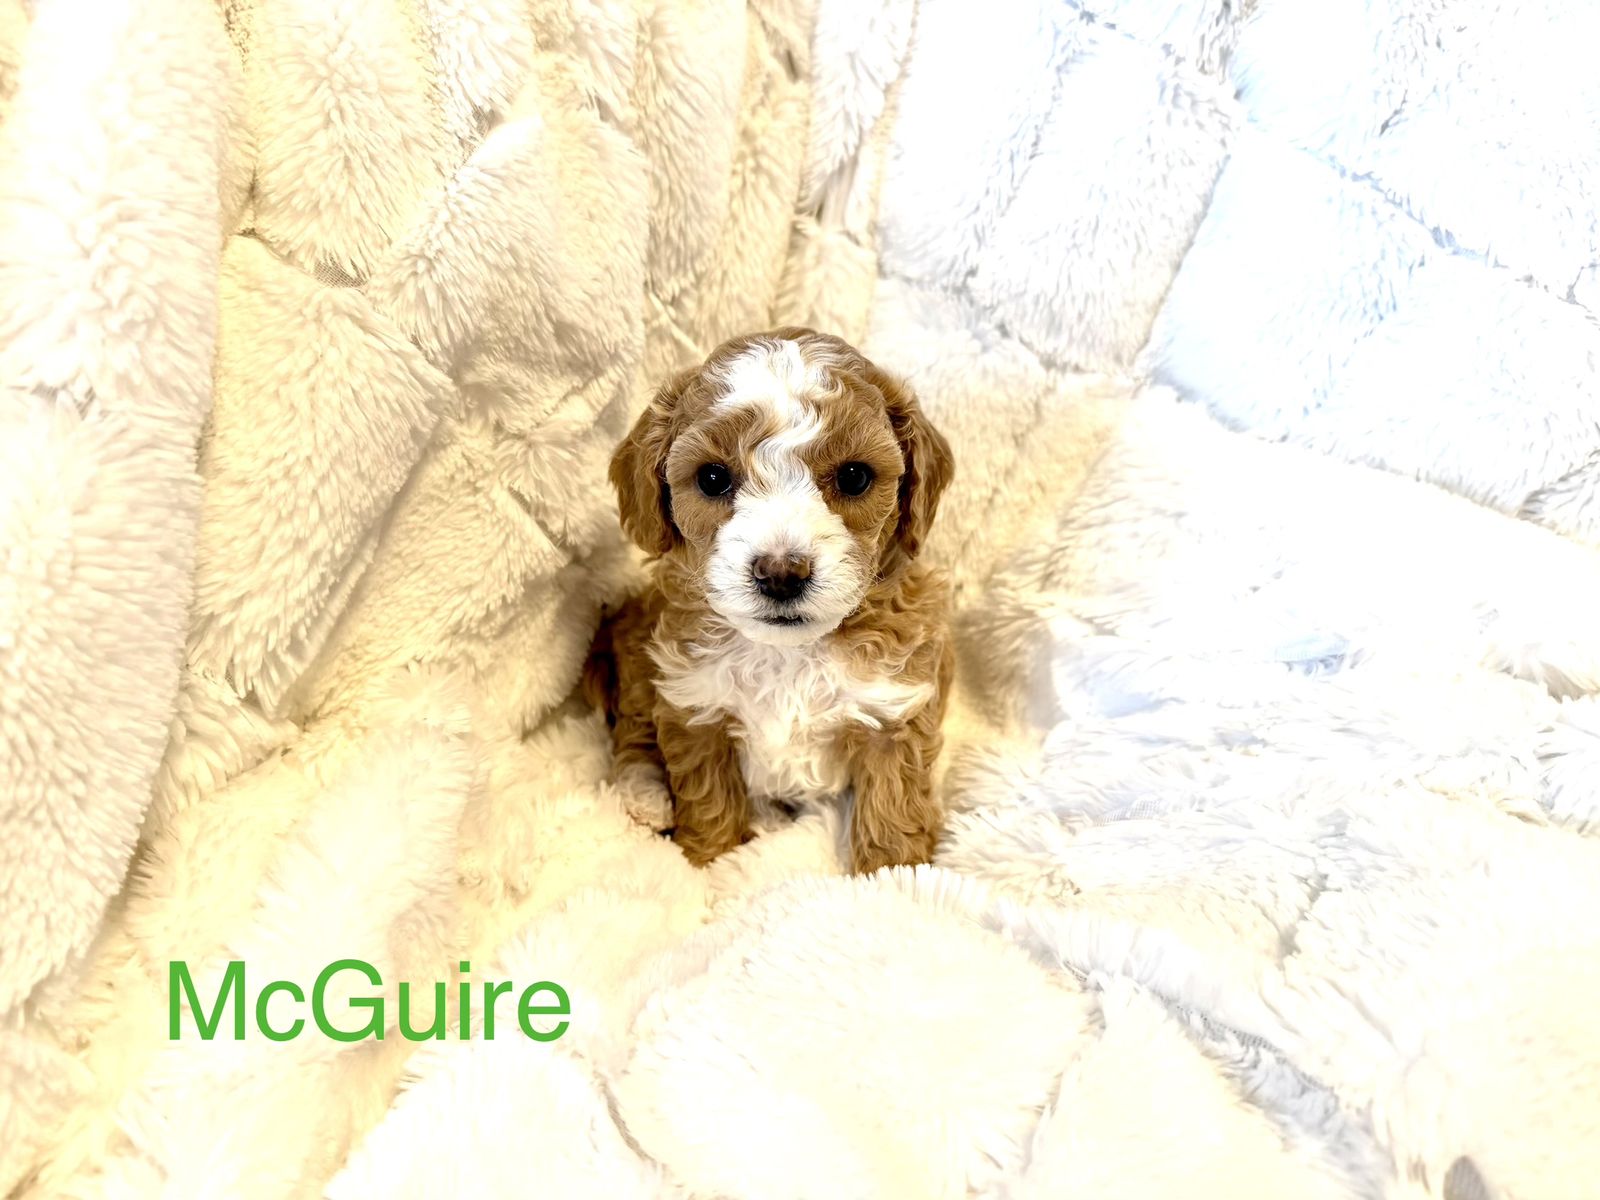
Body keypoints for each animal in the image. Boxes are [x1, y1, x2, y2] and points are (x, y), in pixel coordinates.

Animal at [584, 327, 955, 873]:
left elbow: (893, 809)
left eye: (854, 476)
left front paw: (893, 879)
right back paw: (647, 796)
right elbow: (709, 799)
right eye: (713, 478)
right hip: (636, 651)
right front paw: (709, 862)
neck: (789, 654)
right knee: (632, 730)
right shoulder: (694, 704)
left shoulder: (893, 713)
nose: (781, 574)